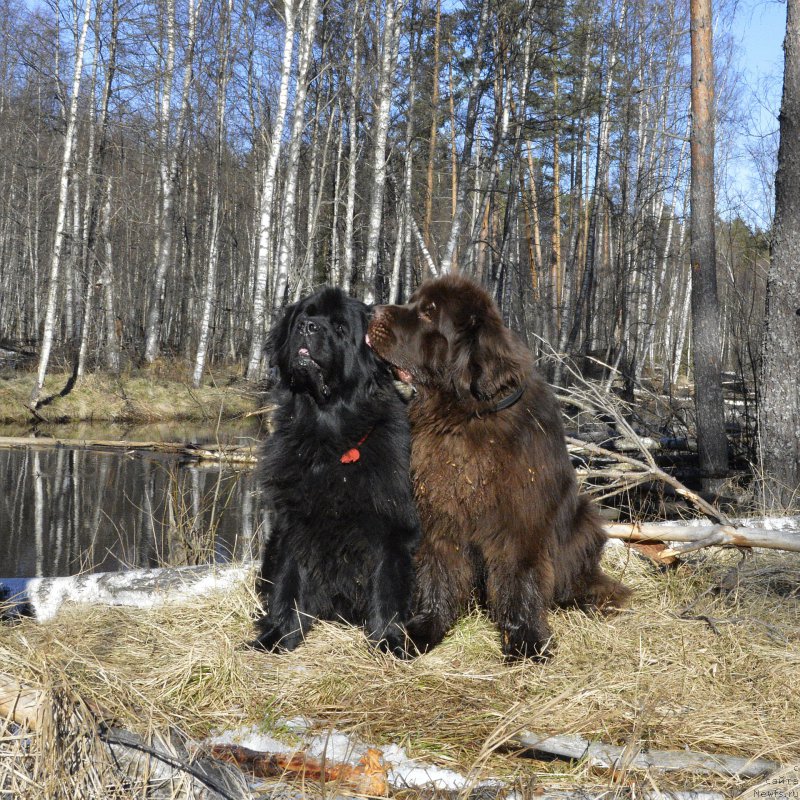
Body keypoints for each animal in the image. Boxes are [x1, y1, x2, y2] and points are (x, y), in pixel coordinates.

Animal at [253, 288, 422, 656]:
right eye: (305, 315)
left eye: (341, 327)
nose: (308, 326)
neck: (327, 440)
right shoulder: (294, 521)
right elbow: (288, 580)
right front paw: (279, 635)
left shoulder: (392, 525)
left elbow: (387, 585)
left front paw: (388, 641)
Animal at [366, 276, 628, 664]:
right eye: (413, 301)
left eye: (429, 312)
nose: (372, 311)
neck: (467, 416)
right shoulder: (440, 519)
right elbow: (438, 574)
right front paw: (423, 630)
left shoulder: (519, 526)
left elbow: (520, 583)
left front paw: (526, 643)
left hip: (584, 518)